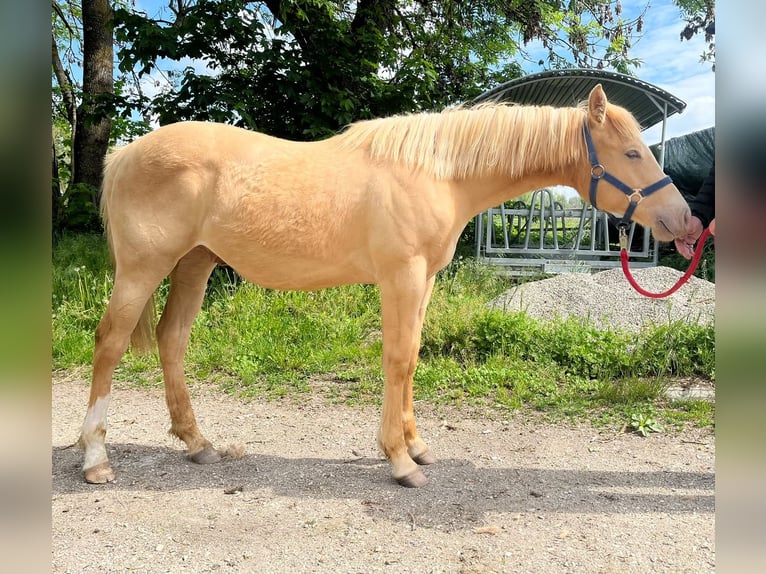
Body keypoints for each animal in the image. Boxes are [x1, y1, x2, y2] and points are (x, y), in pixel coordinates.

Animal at [77, 85, 690, 488]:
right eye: (632, 152)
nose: (683, 222)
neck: (438, 173)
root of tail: (125, 154)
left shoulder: (424, 281)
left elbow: (412, 356)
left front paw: (415, 446)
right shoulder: (402, 275)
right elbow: (397, 358)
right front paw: (398, 460)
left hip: (194, 264)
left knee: (171, 340)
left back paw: (199, 444)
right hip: (144, 267)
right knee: (109, 342)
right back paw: (95, 459)